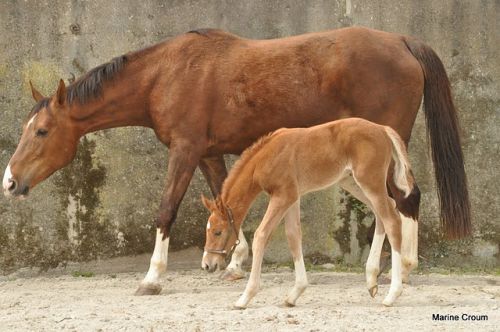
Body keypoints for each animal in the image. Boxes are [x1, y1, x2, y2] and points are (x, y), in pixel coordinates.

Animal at [202, 118, 414, 308]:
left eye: (218, 232)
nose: (207, 265)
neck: (266, 157)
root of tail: (383, 129)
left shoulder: (282, 196)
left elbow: (261, 235)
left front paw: (245, 297)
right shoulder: (292, 197)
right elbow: (293, 236)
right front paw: (295, 293)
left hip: (369, 180)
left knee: (391, 219)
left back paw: (392, 294)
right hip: (352, 182)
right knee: (385, 210)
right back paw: (371, 280)